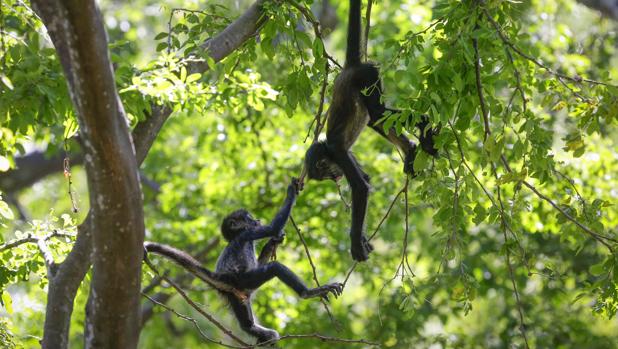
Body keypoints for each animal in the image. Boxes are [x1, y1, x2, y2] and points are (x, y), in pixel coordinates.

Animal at [145, 178, 344, 344]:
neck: (237, 236)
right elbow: (273, 228)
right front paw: (291, 191)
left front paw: (275, 241)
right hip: (244, 280)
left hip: (237, 296)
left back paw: (262, 335)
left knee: (246, 324)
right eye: (249, 218)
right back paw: (308, 293)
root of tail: (223, 278)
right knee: (274, 268)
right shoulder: (247, 234)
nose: (257, 219)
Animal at [302, 0, 438, 260]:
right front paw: (362, 240)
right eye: (324, 177)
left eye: (323, 168)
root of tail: (350, 68)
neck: (326, 147)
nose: (334, 177)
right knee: (376, 120)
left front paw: (355, 244)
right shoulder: (346, 154)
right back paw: (410, 151)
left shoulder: (338, 153)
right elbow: (364, 179)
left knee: (377, 113)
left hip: (367, 77)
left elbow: (360, 188)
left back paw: (424, 127)